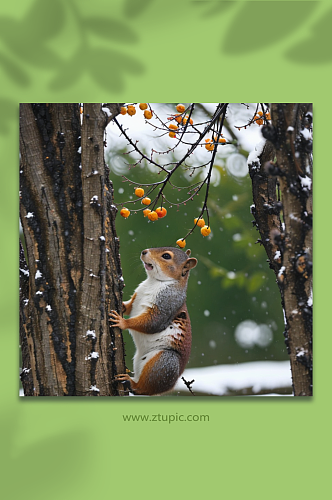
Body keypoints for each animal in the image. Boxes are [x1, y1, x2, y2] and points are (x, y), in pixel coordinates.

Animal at [109, 246, 197, 394]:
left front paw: (122, 322)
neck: (154, 282)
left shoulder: (166, 305)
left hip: (163, 363)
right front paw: (121, 305)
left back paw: (131, 383)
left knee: (143, 389)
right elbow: (129, 308)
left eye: (166, 256)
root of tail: (170, 386)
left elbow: (151, 323)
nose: (144, 251)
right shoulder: (137, 297)